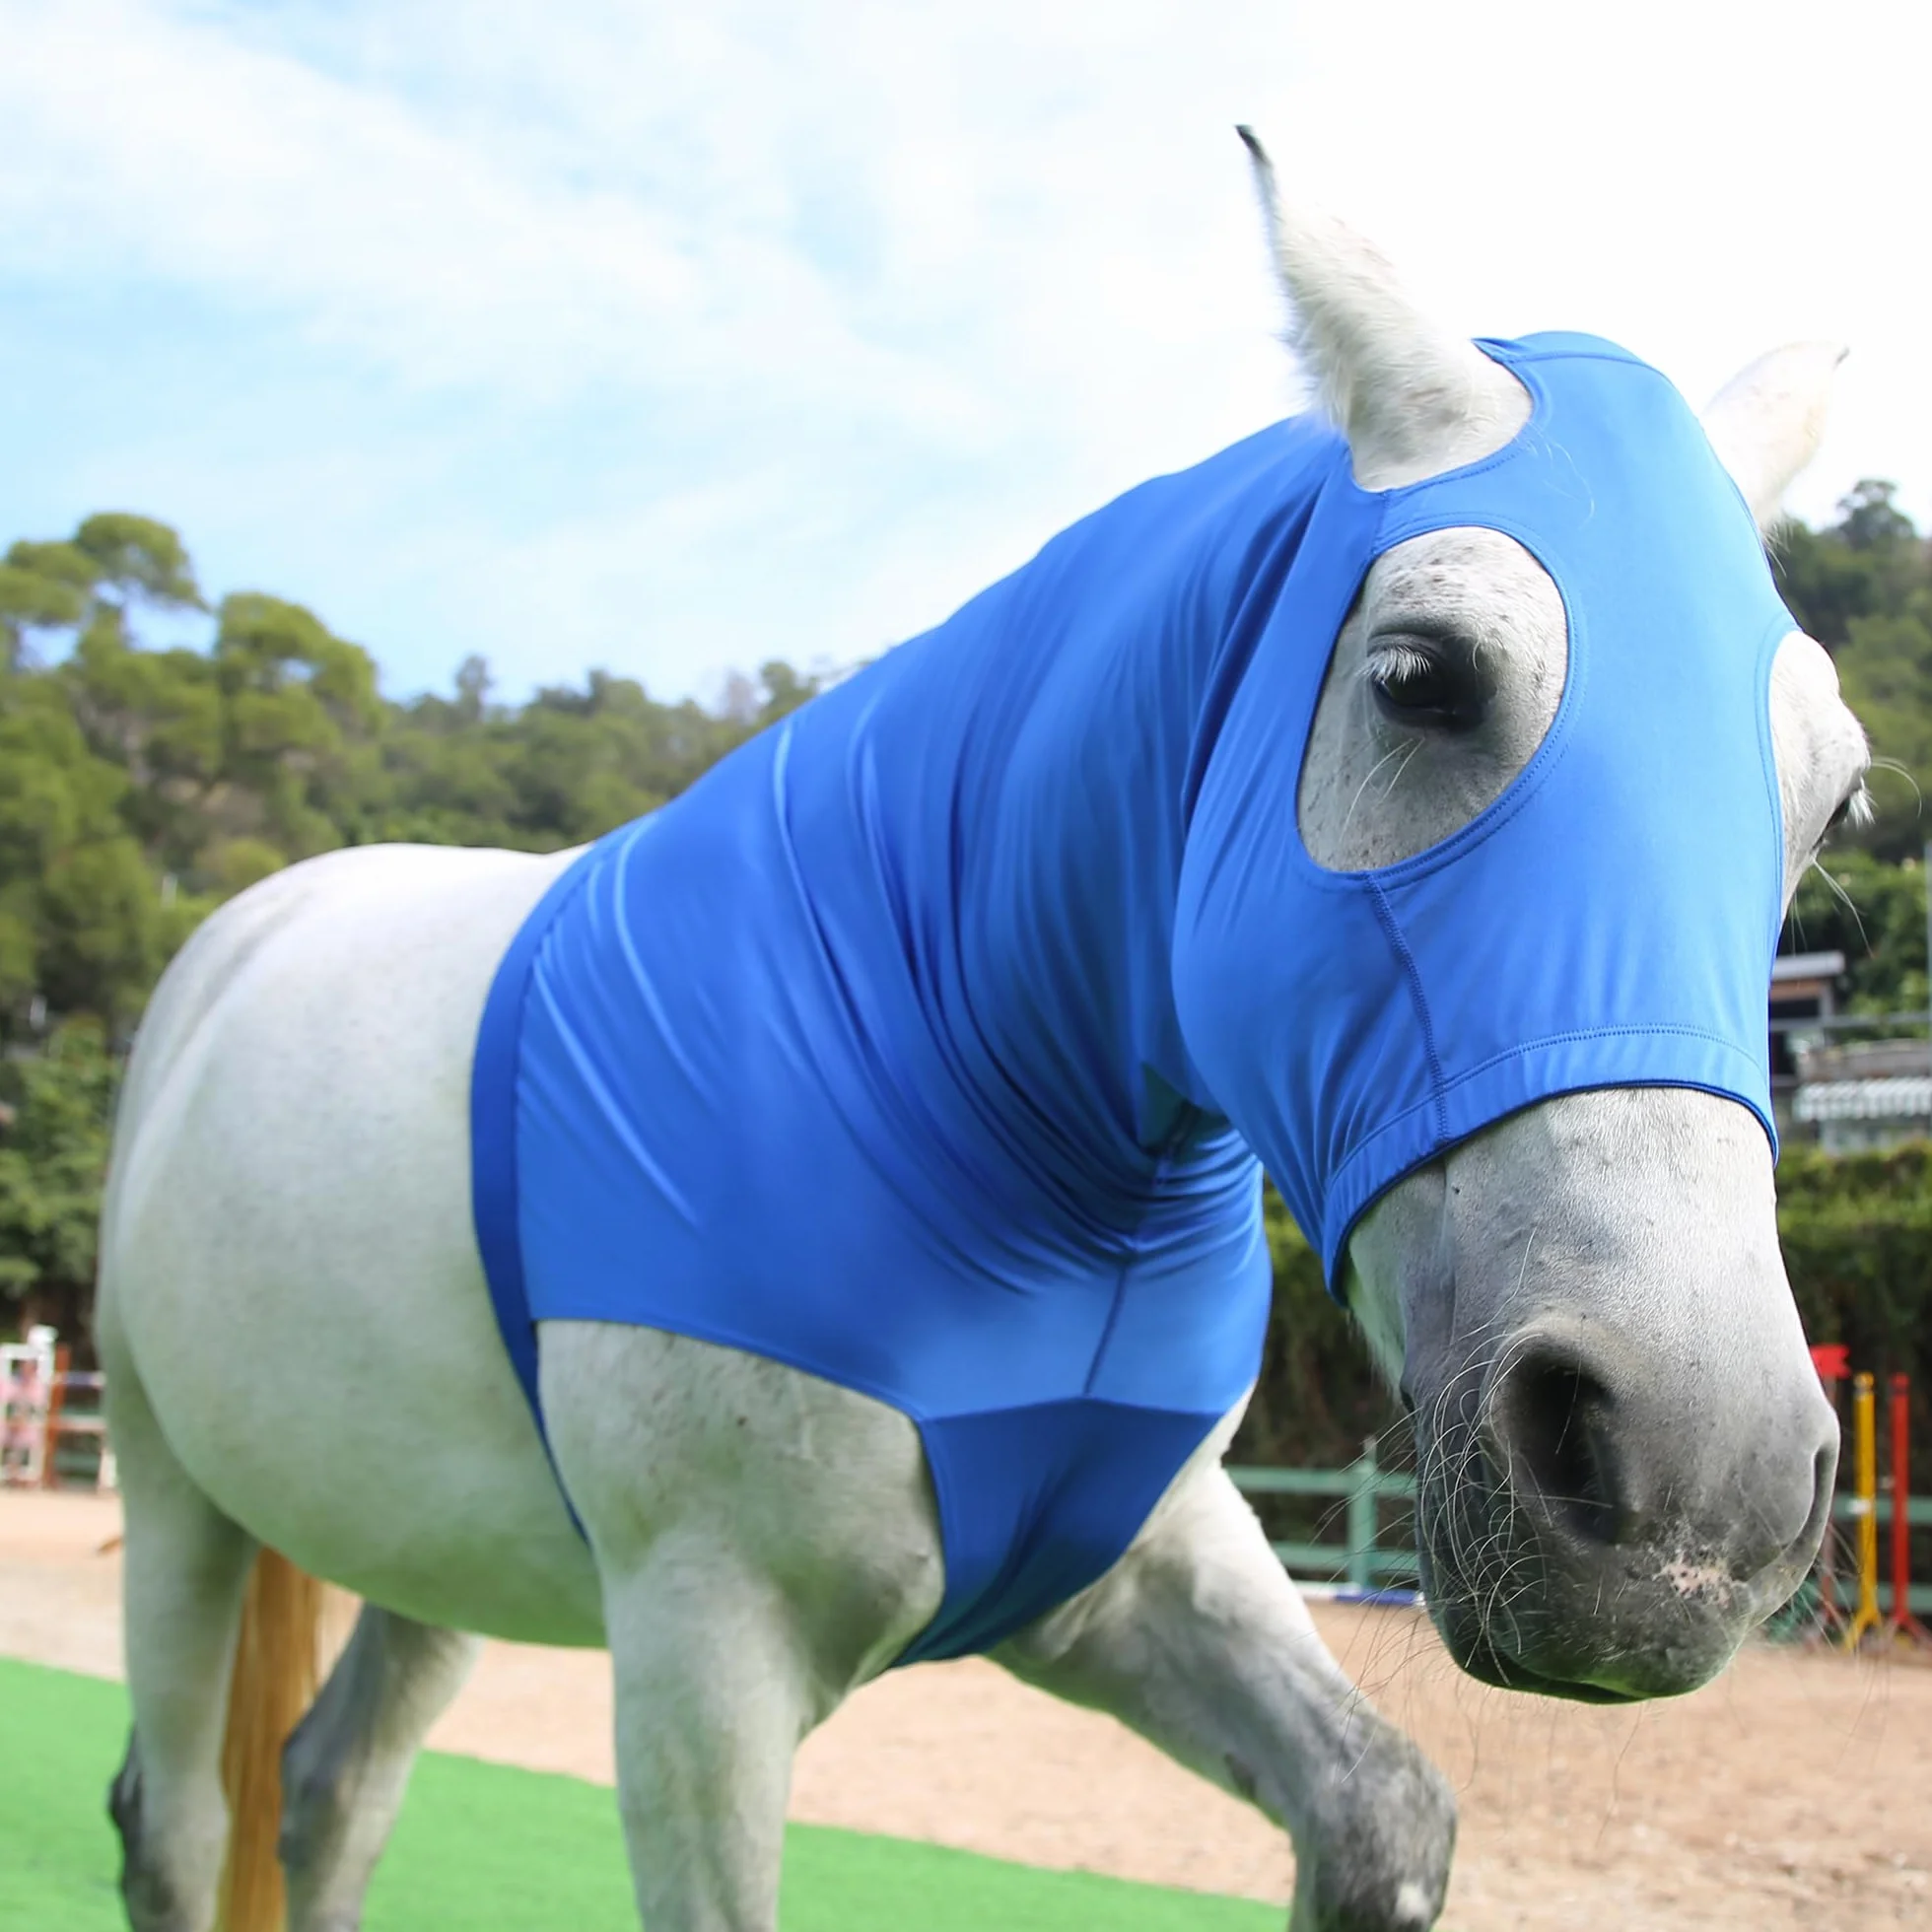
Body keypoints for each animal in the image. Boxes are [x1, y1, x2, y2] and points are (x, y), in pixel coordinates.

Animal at [96, 132, 1865, 1932]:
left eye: (1834, 793)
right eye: (1422, 676)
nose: (1695, 1487)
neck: (950, 1069)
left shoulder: (1126, 1573)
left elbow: (1382, 1811)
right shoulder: (702, 1649)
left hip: (429, 1557)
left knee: (330, 1795)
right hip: (173, 1490)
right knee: (177, 1820)